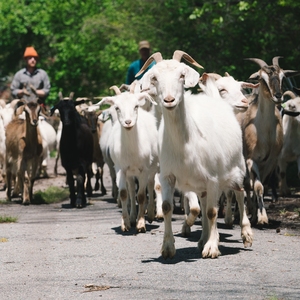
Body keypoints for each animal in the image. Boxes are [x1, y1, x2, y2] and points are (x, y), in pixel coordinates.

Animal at [96, 86, 159, 232]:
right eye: (117, 108)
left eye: (135, 106)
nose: (128, 122)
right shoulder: (121, 169)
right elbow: (125, 193)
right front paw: (126, 223)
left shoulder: (144, 169)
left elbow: (141, 196)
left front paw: (141, 224)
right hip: (130, 173)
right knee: (131, 189)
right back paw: (132, 216)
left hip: (152, 167)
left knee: (151, 184)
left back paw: (151, 213)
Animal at [139, 51, 253, 258]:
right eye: (155, 78)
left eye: (181, 76)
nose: (169, 100)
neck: (186, 142)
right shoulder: (168, 175)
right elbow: (168, 207)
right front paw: (168, 247)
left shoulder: (213, 178)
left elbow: (212, 212)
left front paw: (212, 247)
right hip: (201, 183)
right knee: (205, 201)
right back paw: (203, 239)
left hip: (236, 169)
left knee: (239, 194)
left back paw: (246, 234)